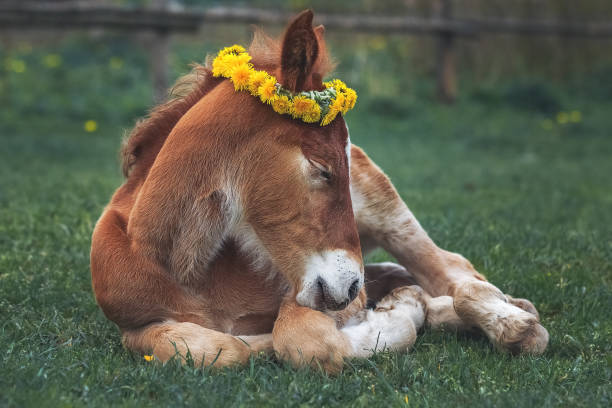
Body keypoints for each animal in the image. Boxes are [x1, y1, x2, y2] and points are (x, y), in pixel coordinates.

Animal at [91, 10, 548, 372]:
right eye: (323, 169)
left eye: (335, 167)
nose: (350, 286)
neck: (187, 265)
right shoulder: (134, 326)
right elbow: (205, 348)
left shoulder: (326, 297)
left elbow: (301, 341)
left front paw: (402, 312)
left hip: (387, 214)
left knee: (454, 271)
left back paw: (514, 323)